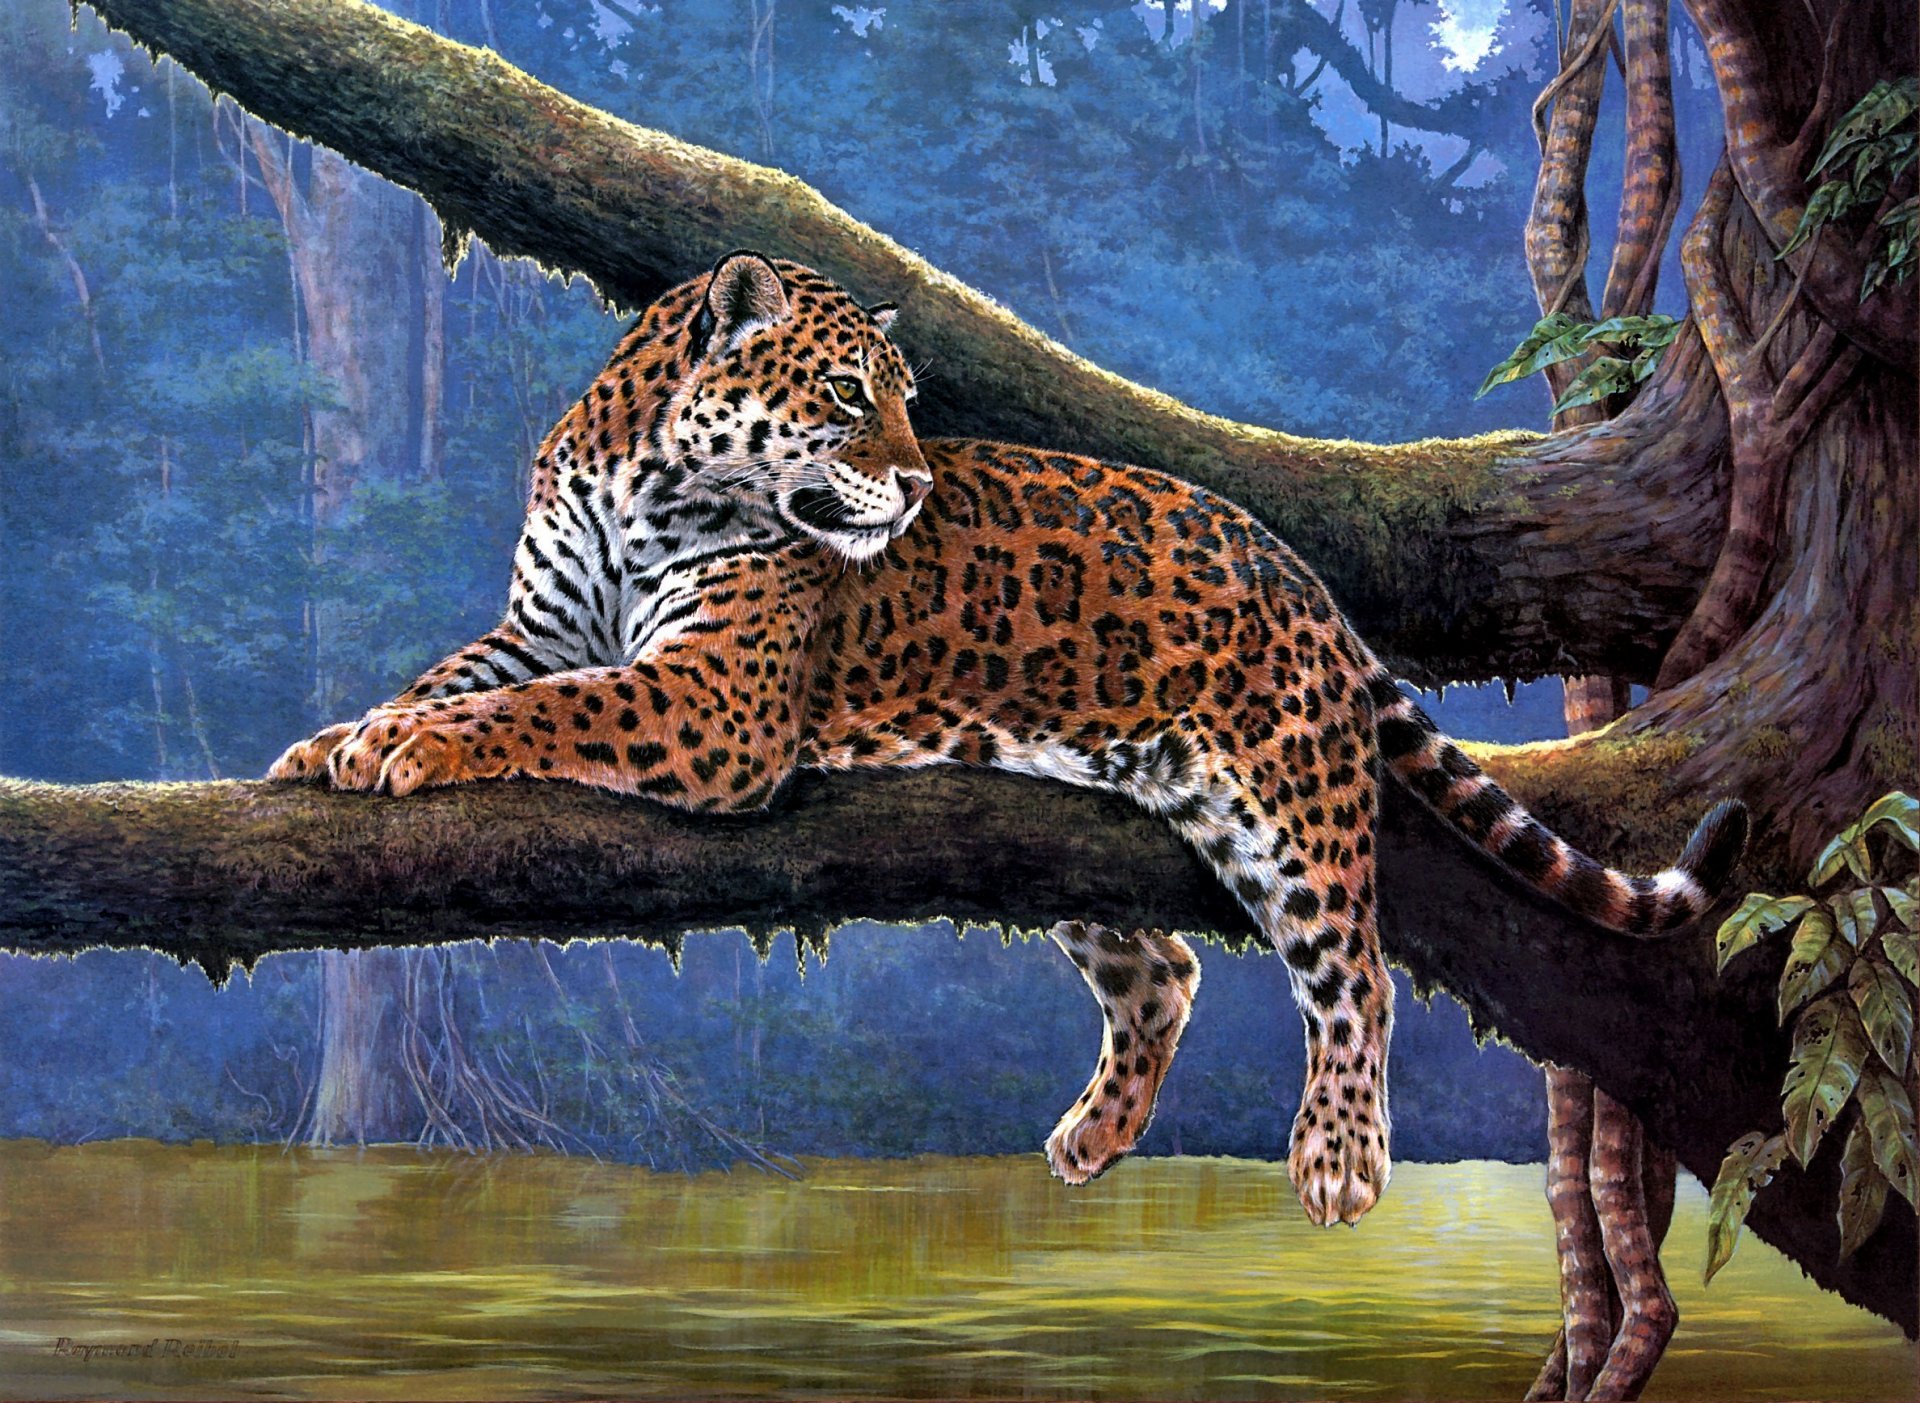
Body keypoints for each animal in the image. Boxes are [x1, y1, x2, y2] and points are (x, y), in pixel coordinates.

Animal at [269, 251, 1748, 1226]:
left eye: (907, 397)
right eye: (847, 394)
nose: (921, 481)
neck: (645, 482)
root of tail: (1297, 565)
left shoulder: (713, 694)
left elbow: (547, 706)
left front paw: (401, 750)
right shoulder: (543, 622)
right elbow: (468, 675)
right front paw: (337, 736)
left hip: (1291, 801)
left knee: (1356, 971)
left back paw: (1336, 1156)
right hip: (1075, 822)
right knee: (1166, 971)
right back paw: (1092, 1136)